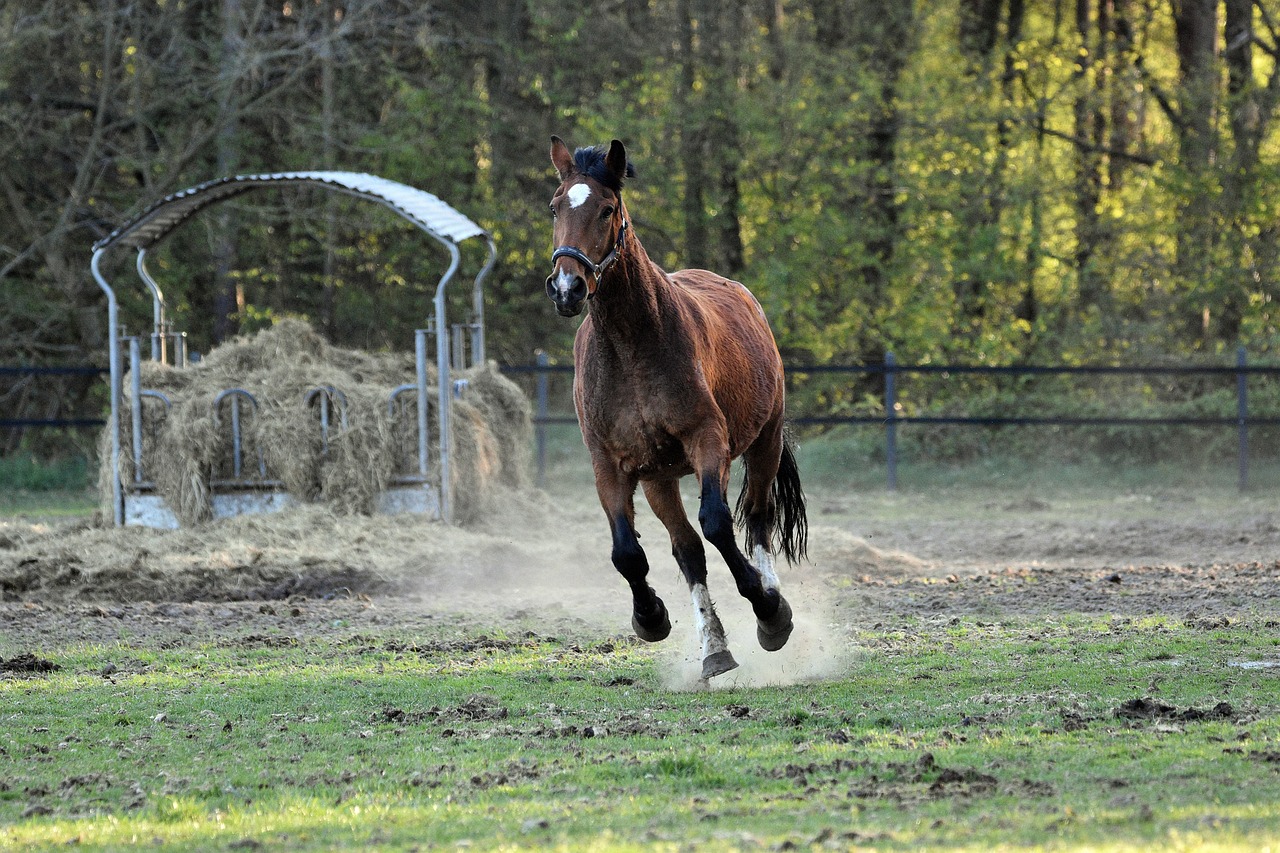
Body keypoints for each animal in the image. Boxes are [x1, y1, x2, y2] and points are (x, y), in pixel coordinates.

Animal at [544, 136, 807, 679]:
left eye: (607, 209)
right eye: (555, 206)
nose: (566, 287)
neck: (631, 346)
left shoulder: (708, 441)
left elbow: (720, 524)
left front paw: (768, 609)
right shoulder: (610, 464)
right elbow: (628, 553)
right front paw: (650, 617)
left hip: (765, 441)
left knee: (758, 517)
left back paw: (771, 606)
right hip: (660, 479)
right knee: (688, 550)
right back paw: (714, 649)